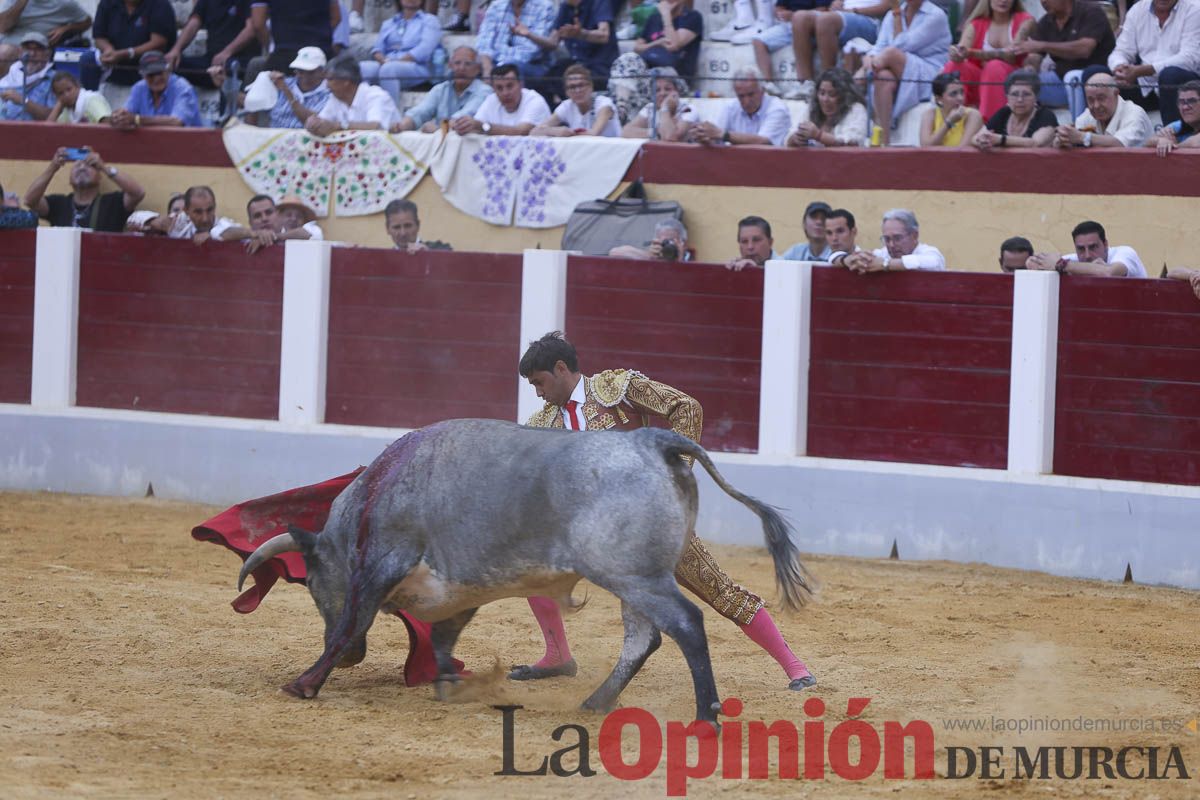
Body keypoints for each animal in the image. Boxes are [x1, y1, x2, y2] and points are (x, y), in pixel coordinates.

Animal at [237, 419, 811, 724]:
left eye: (311, 583)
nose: (358, 659)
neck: (376, 494)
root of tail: (651, 439)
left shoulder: (381, 564)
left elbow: (352, 621)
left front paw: (303, 684)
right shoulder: (458, 592)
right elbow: (442, 641)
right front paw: (449, 685)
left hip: (634, 576)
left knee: (687, 624)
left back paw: (706, 716)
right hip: (635, 578)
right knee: (643, 638)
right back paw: (594, 703)